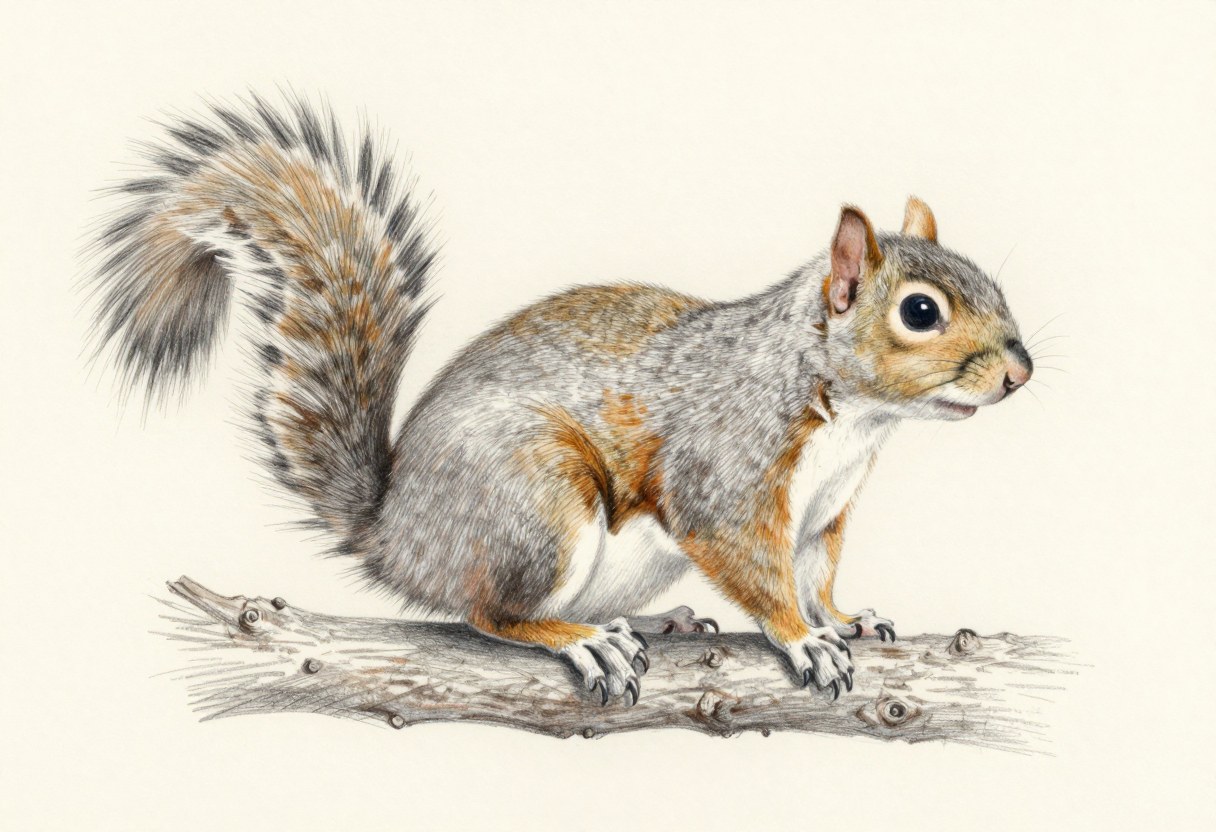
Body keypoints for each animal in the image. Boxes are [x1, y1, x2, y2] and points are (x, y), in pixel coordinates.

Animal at [87, 95, 1033, 706]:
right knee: (492, 613)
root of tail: (395, 534)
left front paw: (843, 618)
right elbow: (755, 568)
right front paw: (801, 638)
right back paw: (581, 639)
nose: (1020, 374)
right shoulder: (727, 474)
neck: (852, 417)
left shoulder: (823, 512)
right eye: (920, 312)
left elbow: (814, 572)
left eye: (991, 284)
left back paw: (658, 621)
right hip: (536, 502)